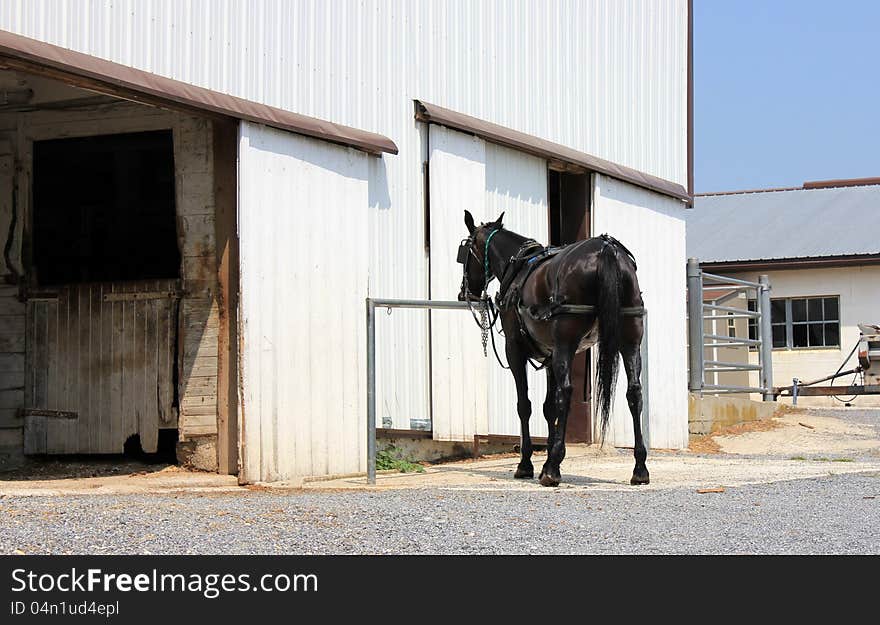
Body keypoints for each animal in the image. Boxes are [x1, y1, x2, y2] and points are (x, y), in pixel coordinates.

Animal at [458, 210, 648, 488]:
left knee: (566, 392)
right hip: (629, 340)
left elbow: (525, 405)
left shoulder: (515, 350)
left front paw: (527, 464)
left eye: (465, 251)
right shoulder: (550, 354)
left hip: (566, 345)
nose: (465, 293)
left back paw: (553, 469)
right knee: (634, 392)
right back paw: (640, 468)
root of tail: (606, 249)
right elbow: (548, 408)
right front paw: (545, 456)